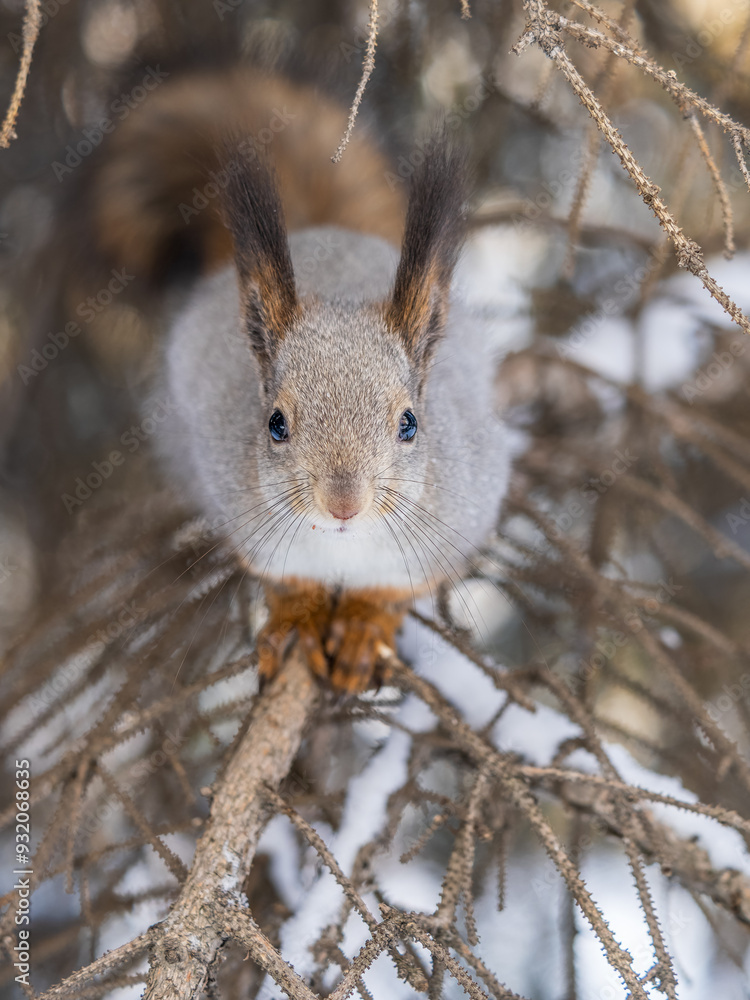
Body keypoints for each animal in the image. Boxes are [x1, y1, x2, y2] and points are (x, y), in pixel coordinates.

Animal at [76, 70, 512, 692]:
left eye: (410, 424)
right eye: (276, 424)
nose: (343, 505)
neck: (343, 550)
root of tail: (327, 235)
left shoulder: (453, 522)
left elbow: (392, 592)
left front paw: (364, 627)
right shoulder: (248, 519)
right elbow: (286, 583)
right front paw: (301, 622)